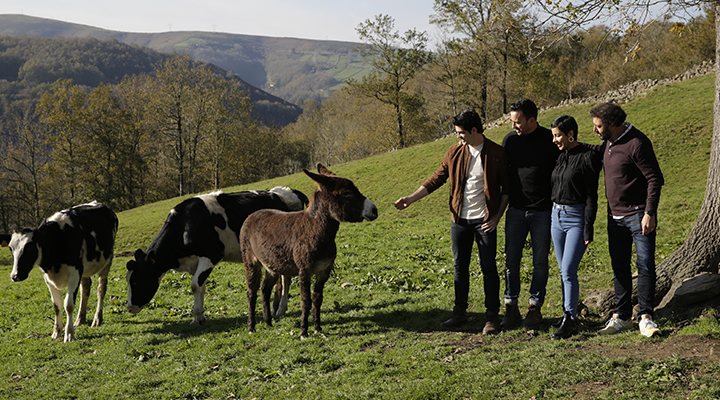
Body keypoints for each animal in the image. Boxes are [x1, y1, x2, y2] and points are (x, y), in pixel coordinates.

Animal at [0, 202, 116, 342]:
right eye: (11, 248)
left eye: (30, 247)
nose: (15, 276)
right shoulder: (48, 279)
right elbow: (56, 305)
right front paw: (56, 332)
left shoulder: (75, 273)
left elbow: (68, 305)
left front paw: (69, 333)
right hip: (84, 269)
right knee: (85, 288)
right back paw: (80, 319)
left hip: (107, 261)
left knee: (101, 289)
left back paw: (97, 319)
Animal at [126, 188, 306, 324]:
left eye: (136, 281)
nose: (129, 307)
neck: (186, 225)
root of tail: (287, 191)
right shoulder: (194, 263)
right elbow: (200, 287)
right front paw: (198, 317)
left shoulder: (210, 256)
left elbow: (195, 285)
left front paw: (197, 317)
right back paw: (277, 307)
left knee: (287, 278)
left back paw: (280, 308)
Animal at [240, 163, 376, 338]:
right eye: (346, 193)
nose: (374, 210)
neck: (316, 231)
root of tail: (252, 215)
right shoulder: (304, 270)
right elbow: (306, 300)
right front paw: (304, 331)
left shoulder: (324, 271)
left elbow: (317, 299)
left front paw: (318, 327)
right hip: (251, 261)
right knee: (251, 292)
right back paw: (252, 327)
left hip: (272, 265)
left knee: (265, 289)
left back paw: (268, 322)